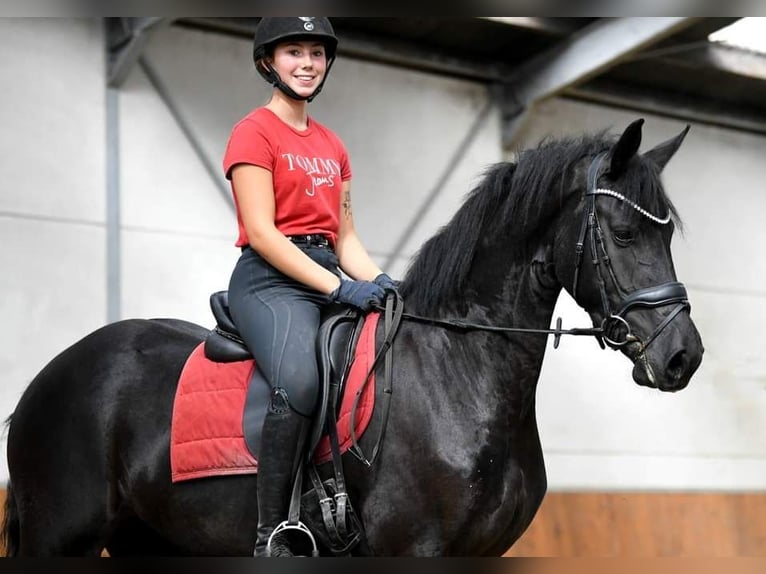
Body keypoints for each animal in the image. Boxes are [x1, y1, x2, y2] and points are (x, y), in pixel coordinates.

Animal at [1, 121, 708, 560]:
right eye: (623, 234)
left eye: (668, 235)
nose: (683, 357)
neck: (457, 374)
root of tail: (42, 381)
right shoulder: (415, 548)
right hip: (59, 537)